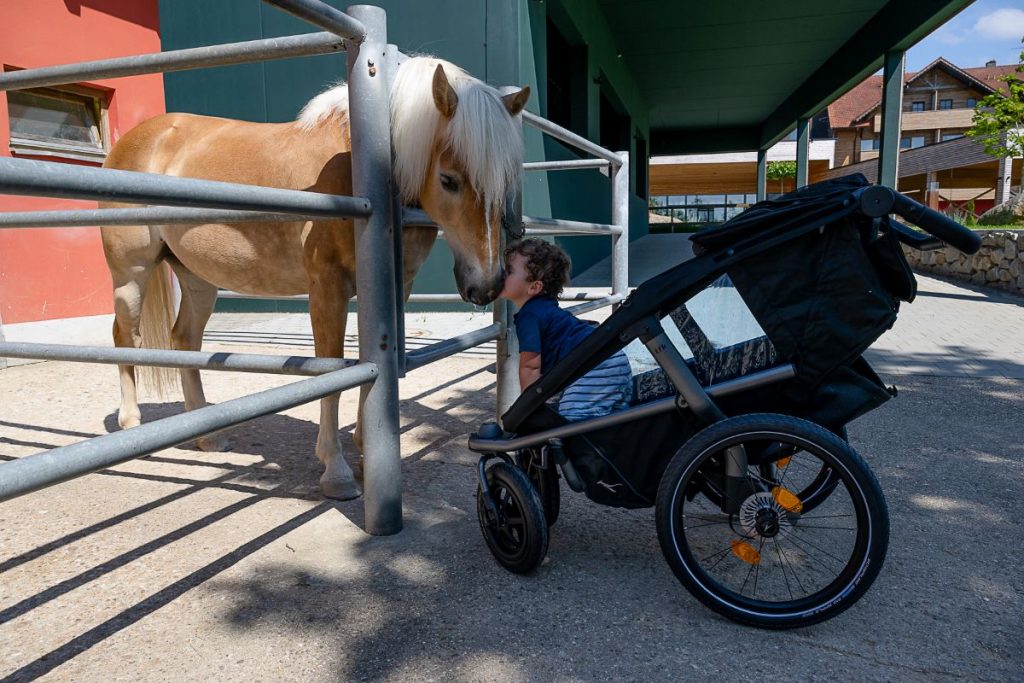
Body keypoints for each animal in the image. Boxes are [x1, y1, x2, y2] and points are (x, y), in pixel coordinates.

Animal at [99, 56, 532, 499]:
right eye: (448, 180)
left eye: (506, 183)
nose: (487, 284)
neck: (362, 166)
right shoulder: (327, 288)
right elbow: (333, 368)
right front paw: (336, 470)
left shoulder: (393, 290)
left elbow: (373, 363)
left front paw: (366, 452)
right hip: (131, 274)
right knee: (125, 336)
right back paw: (131, 423)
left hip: (198, 279)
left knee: (184, 339)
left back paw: (207, 433)